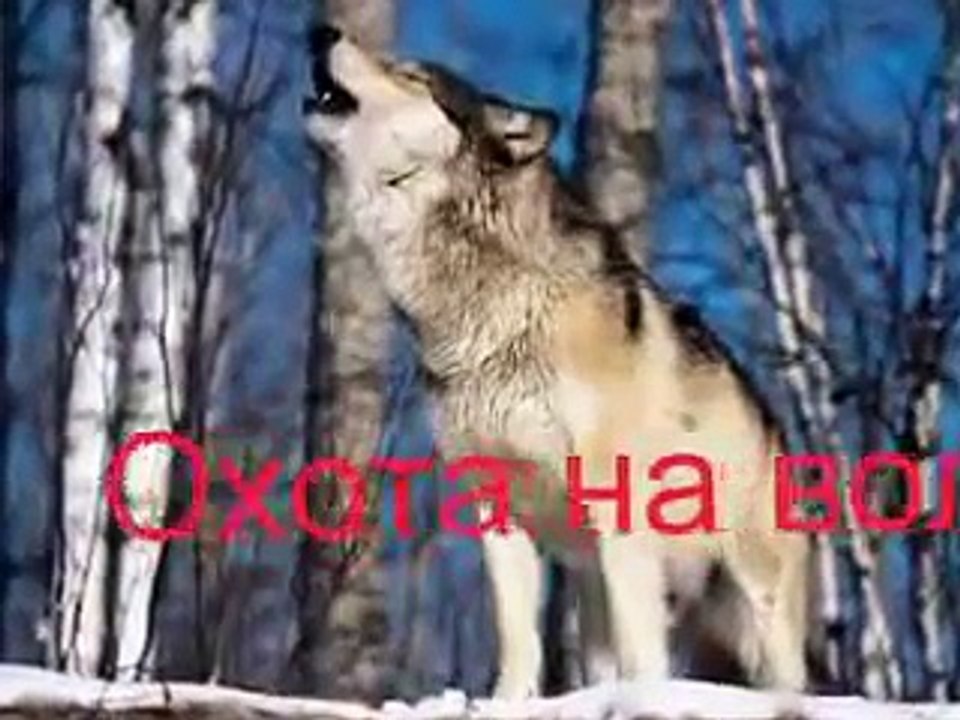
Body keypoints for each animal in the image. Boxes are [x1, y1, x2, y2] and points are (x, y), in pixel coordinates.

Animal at [303, 24, 810, 699]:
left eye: (411, 75)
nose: (321, 31)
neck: (493, 305)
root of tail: (776, 427)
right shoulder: (496, 513)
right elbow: (518, 639)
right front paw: (504, 705)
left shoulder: (618, 513)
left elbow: (640, 649)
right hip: (598, 588)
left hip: (755, 603)